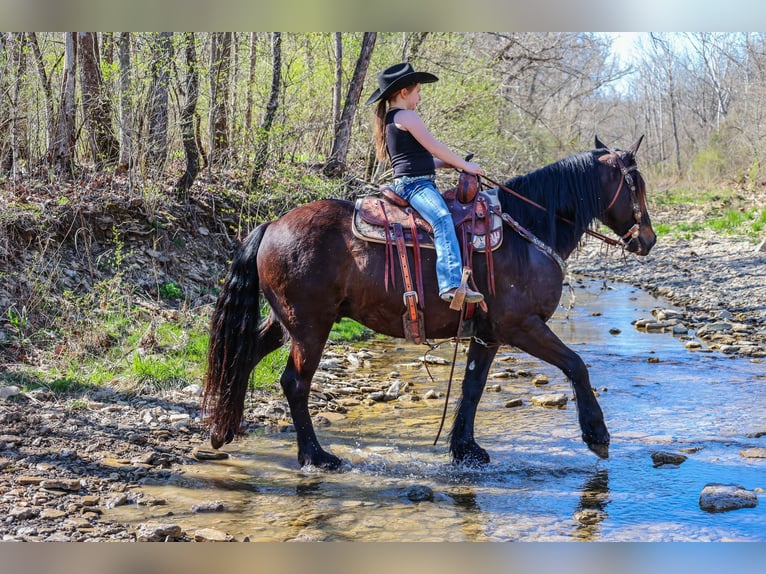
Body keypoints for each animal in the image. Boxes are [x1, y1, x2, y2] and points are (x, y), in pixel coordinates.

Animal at [206, 137, 660, 470]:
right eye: (635, 184)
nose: (648, 239)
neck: (527, 232)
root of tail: (271, 225)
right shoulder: (522, 325)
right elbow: (576, 365)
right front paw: (597, 435)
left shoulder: (488, 333)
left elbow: (473, 387)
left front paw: (465, 449)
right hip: (310, 327)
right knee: (295, 383)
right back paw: (315, 456)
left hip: (285, 323)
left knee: (244, 355)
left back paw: (225, 431)